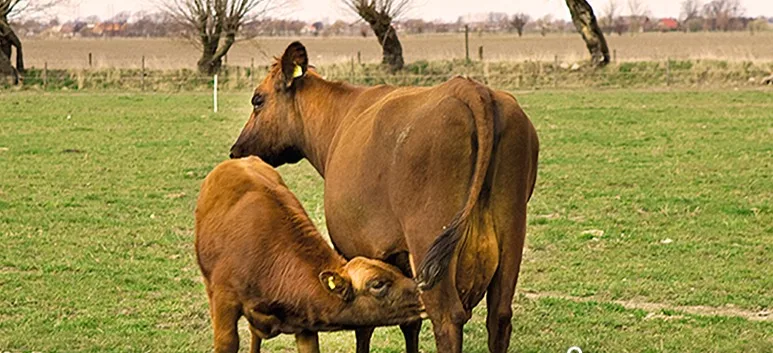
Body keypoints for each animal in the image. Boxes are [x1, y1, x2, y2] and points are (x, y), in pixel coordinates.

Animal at [231, 42, 536, 352]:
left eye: (257, 100)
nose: (236, 150)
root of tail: (470, 88)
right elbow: (410, 321)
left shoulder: (356, 251)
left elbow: (364, 322)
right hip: (511, 234)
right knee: (499, 316)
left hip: (428, 239)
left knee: (447, 318)